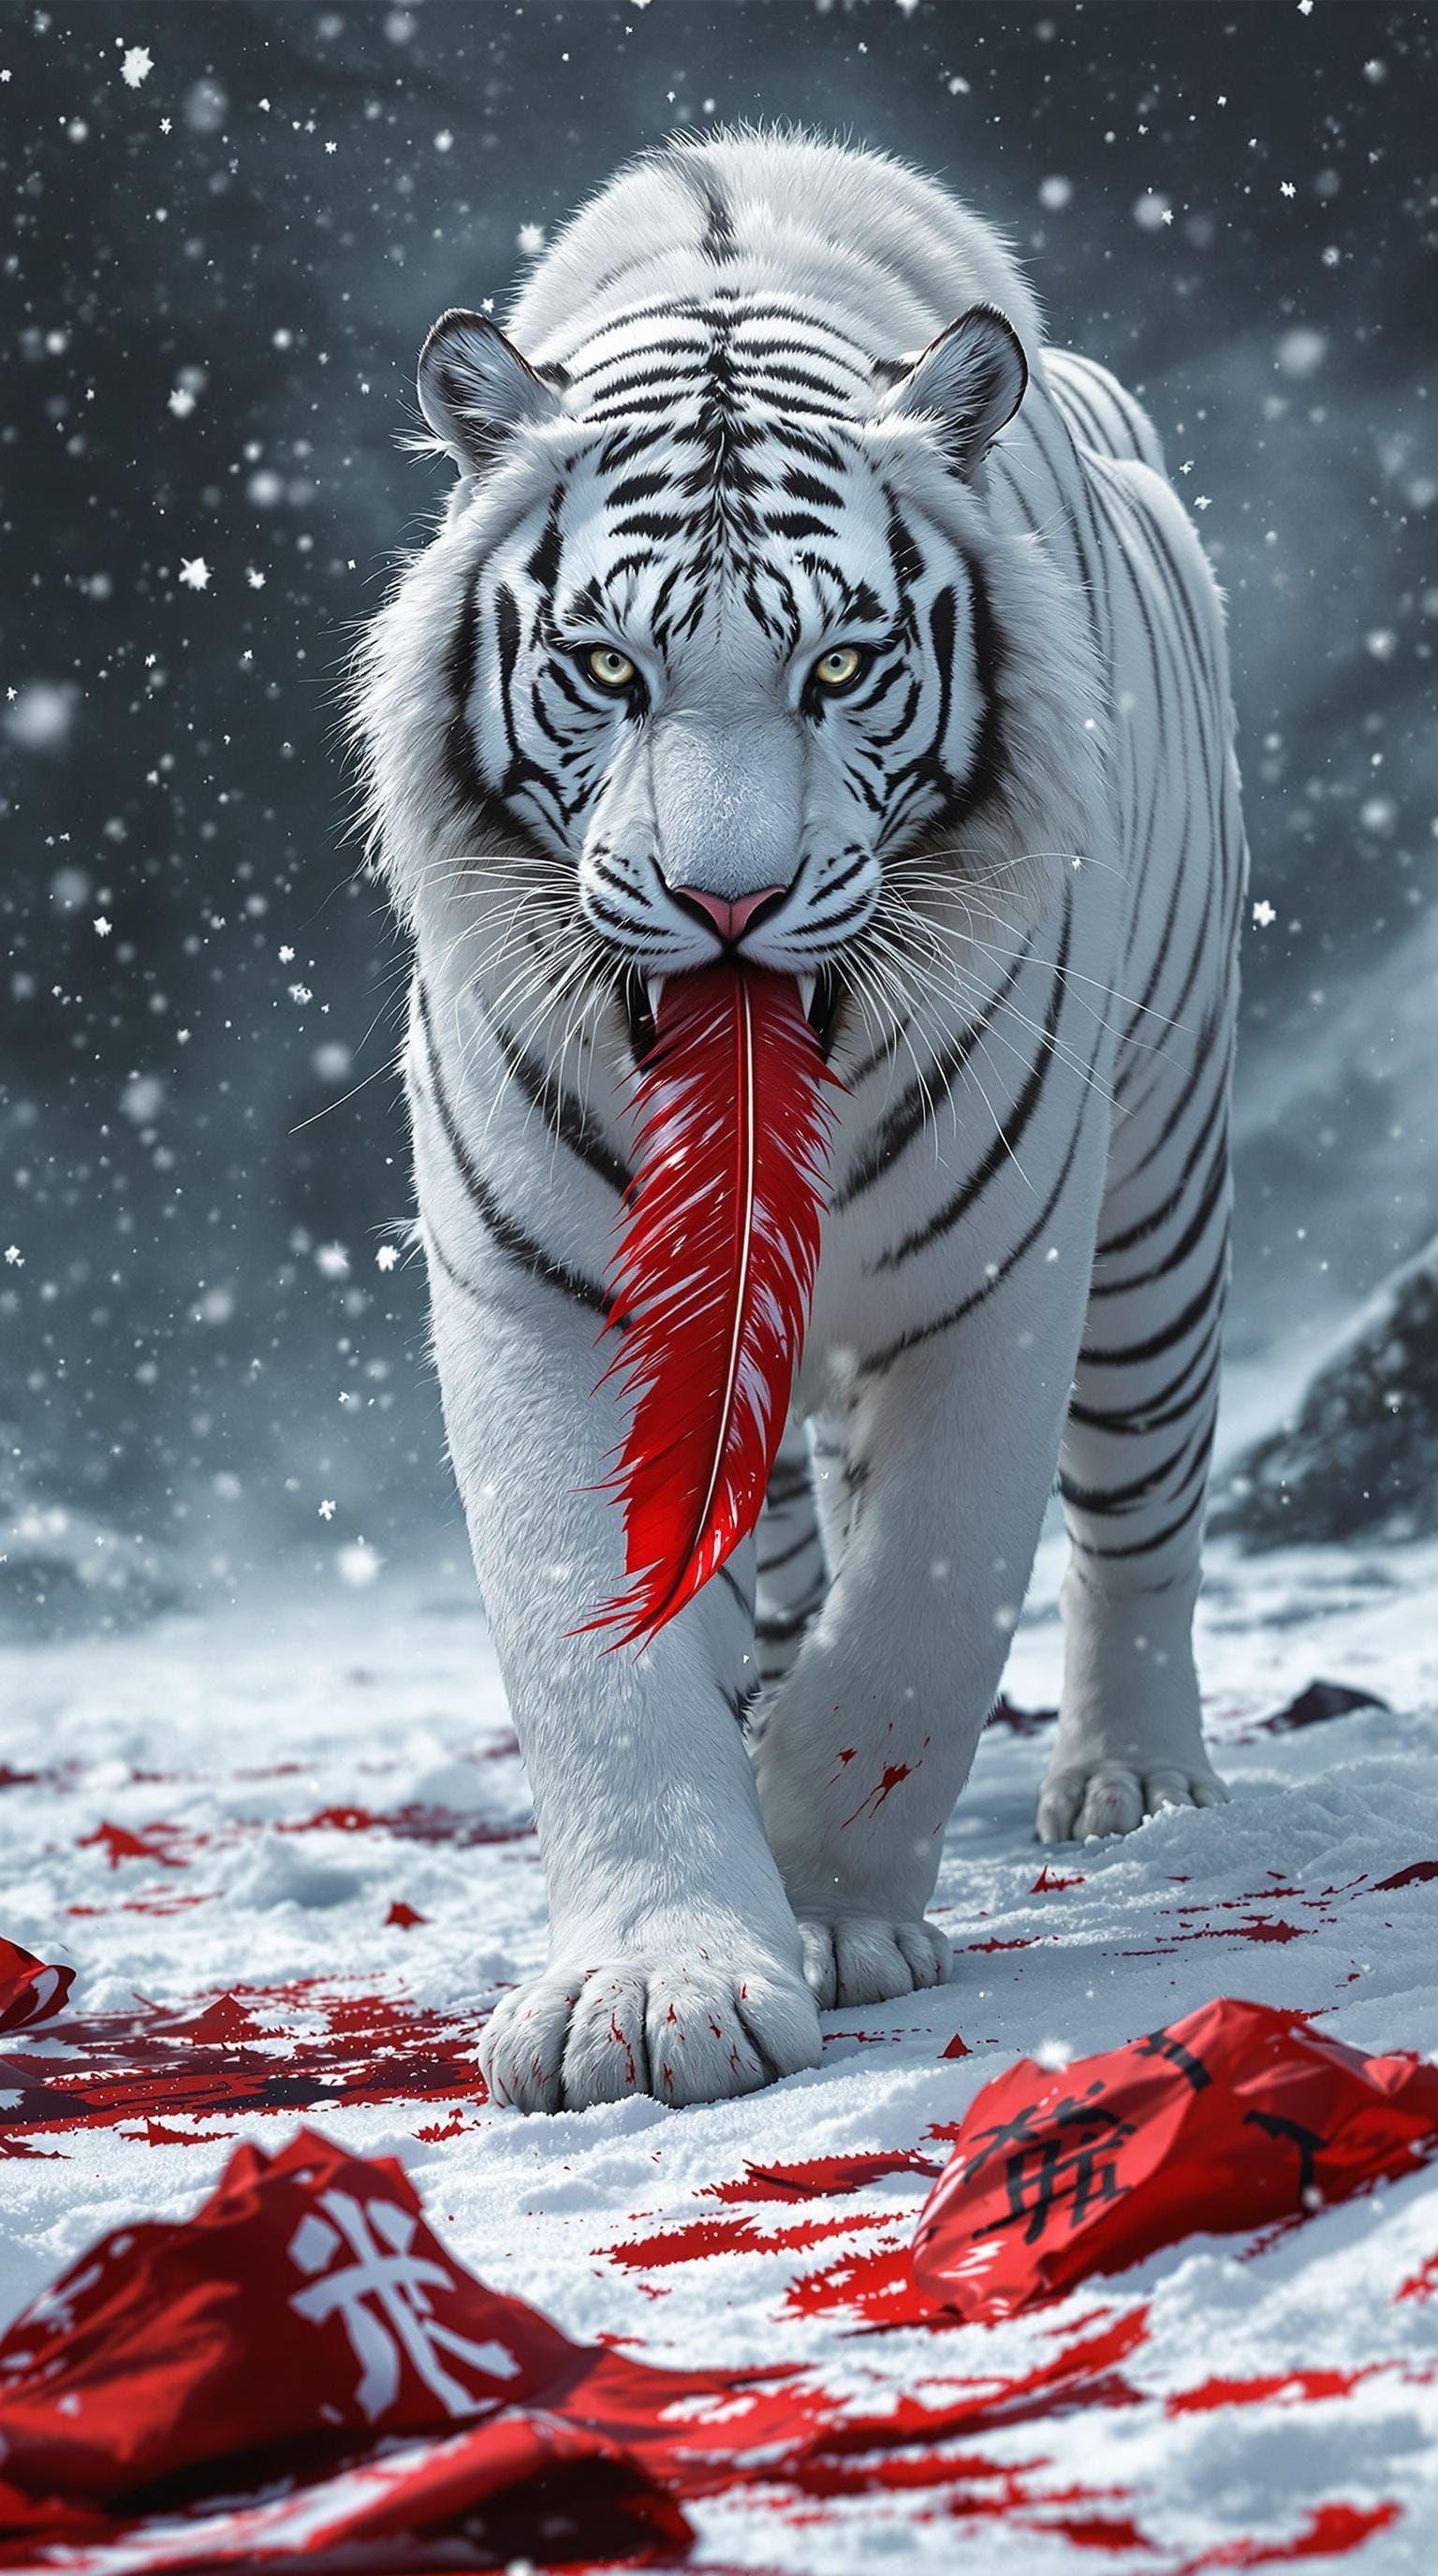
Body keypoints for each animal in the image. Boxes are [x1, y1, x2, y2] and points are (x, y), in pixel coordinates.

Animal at [353, 128, 1246, 2114]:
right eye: (608, 671)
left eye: (840, 668)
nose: (731, 902)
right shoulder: (544, 1299)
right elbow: (598, 1667)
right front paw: (651, 1987)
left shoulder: (1000, 1281)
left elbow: (915, 1628)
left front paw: (829, 1907)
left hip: (1156, 1215)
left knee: (1135, 1515)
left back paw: (1136, 1776)